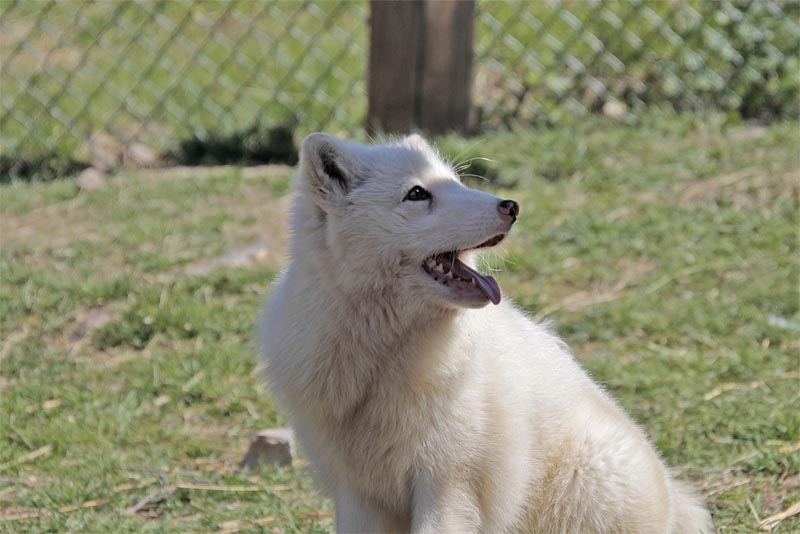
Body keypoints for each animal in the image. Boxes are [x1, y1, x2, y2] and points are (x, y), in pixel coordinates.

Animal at [258, 132, 712, 532]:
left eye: (456, 182)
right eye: (417, 194)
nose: (511, 206)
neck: (384, 356)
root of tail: (676, 502)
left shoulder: (447, 482)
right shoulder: (359, 493)